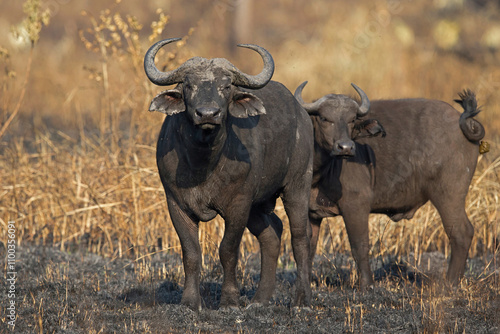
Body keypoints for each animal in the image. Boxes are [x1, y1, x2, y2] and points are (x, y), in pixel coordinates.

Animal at [143, 38, 312, 310]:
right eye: (189, 85)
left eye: (226, 86)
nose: (207, 114)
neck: (203, 162)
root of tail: (302, 114)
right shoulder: (176, 203)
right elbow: (191, 252)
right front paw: (190, 301)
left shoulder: (238, 204)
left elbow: (228, 250)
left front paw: (230, 300)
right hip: (259, 204)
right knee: (272, 233)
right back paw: (260, 299)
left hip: (297, 186)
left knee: (300, 237)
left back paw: (301, 299)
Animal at [294, 82, 486, 288]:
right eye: (324, 118)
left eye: (352, 120)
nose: (345, 147)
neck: (320, 172)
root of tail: (460, 121)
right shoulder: (310, 213)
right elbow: (308, 247)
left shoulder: (356, 206)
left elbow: (359, 245)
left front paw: (367, 285)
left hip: (449, 195)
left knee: (461, 233)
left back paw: (450, 283)